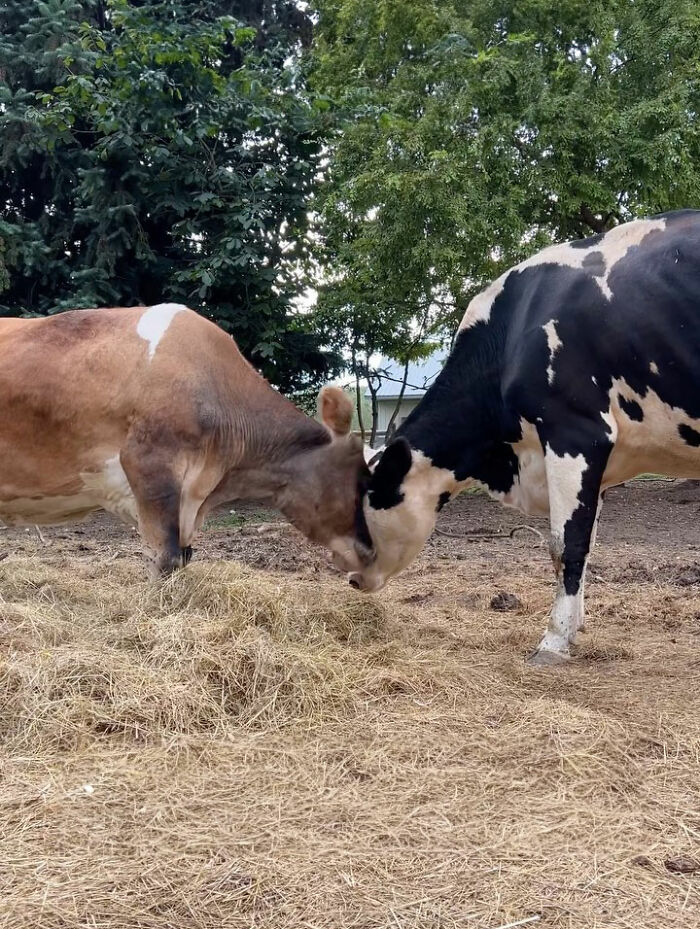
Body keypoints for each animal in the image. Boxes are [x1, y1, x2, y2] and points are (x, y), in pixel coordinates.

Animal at [349, 209, 700, 665]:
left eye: (366, 507)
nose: (351, 578)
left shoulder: (576, 432)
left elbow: (566, 544)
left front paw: (554, 640)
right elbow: (585, 542)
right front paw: (575, 627)